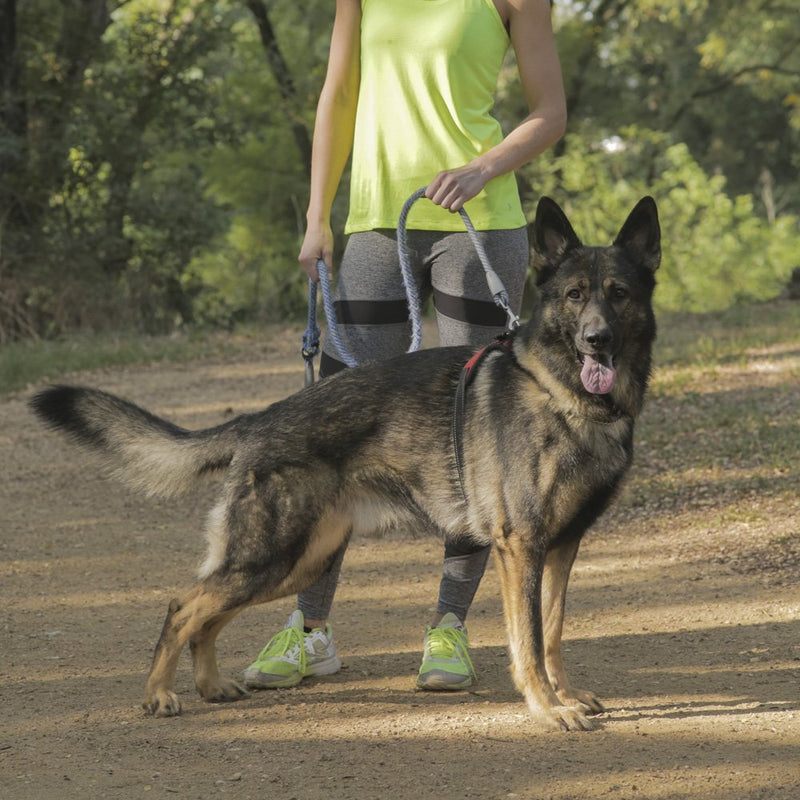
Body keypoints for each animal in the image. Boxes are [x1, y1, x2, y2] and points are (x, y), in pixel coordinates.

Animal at [31, 195, 660, 732]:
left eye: (618, 293)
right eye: (574, 295)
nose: (597, 340)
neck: (561, 394)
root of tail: (259, 418)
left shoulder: (560, 548)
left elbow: (551, 632)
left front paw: (564, 694)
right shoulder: (522, 547)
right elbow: (528, 638)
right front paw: (547, 708)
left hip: (295, 564)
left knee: (206, 614)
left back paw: (210, 685)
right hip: (272, 557)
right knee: (183, 604)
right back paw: (159, 693)